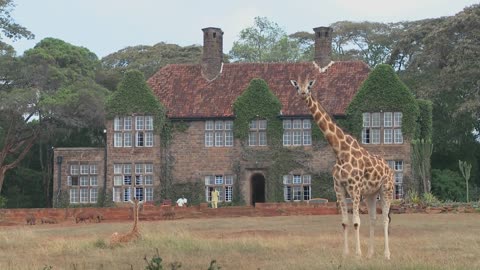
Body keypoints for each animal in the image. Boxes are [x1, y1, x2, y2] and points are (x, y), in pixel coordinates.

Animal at [290, 78, 396, 260]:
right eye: (297, 86)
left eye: (309, 86)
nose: (303, 93)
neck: (340, 152)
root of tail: (390, 169)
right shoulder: (339, 187)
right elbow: (345, 222)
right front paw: (346, 254)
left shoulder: (354, 188)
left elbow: (356, 222)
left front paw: (357, 254)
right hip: (371, 194)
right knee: (374, 218)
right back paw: (371, 254)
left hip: (386, 190)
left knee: (385, 219)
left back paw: (386, 255)